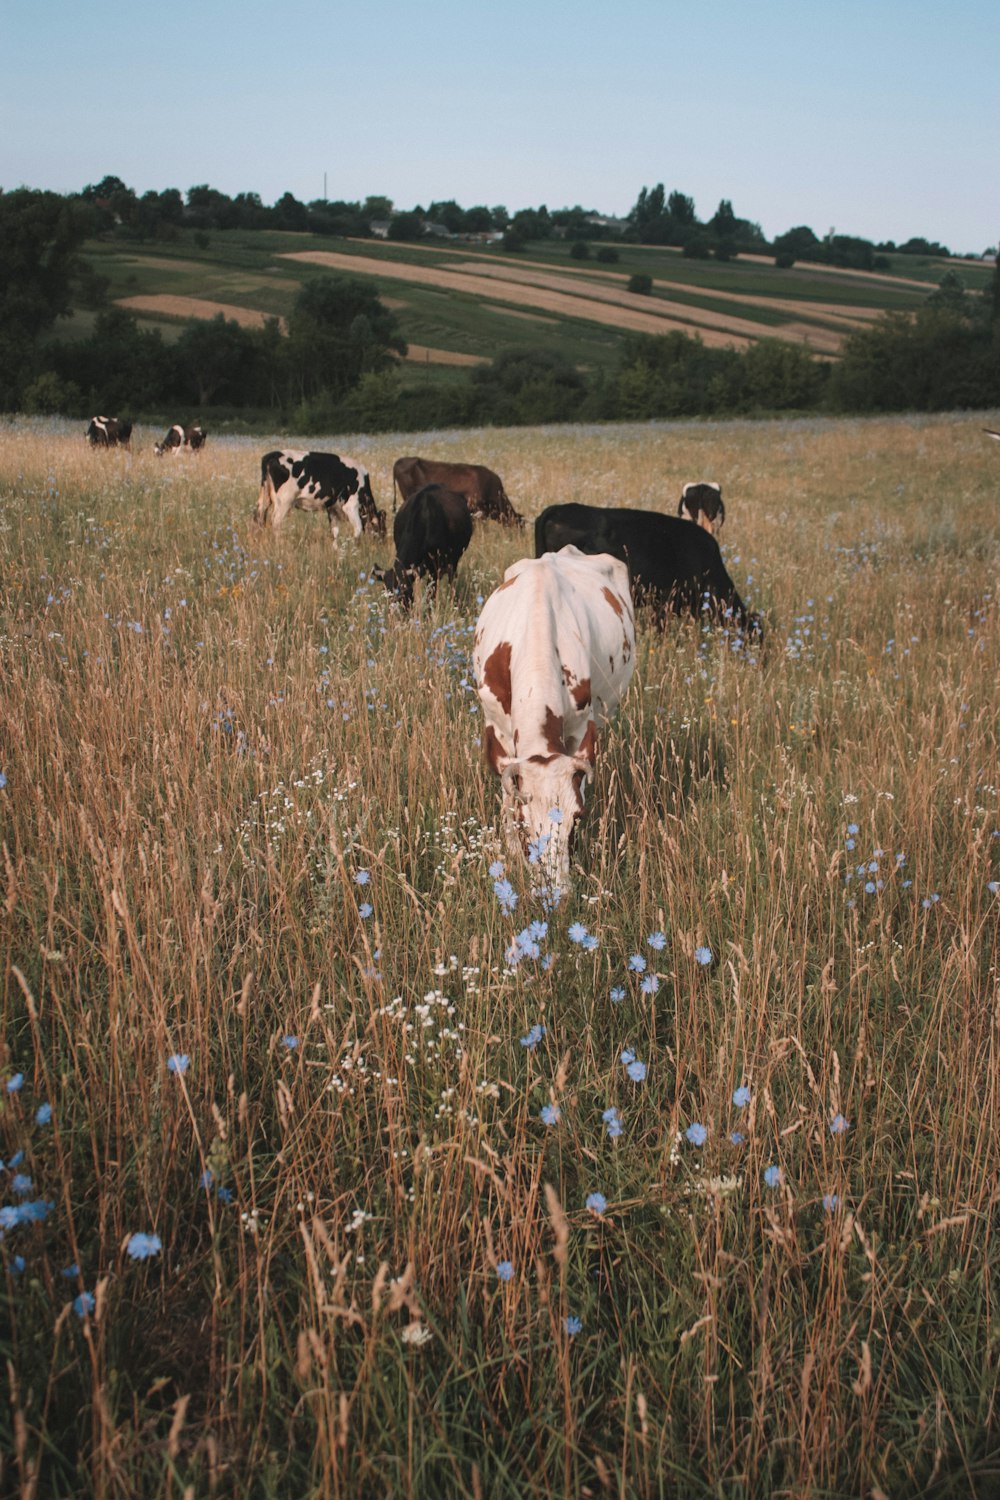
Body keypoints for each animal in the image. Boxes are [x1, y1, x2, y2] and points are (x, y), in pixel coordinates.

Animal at [254, 450, 386, 540]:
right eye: (381, 528)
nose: (382, 544)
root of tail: (273, 454)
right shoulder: (351, 506)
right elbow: (357, 530)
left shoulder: (332, 508)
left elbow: (334, 531)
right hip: (284, 502)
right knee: (276, 522)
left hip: (265, 497)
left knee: (259, 518)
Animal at [476, 546, 632, 882]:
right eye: (524, 822)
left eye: (578, 817)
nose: (555, 889)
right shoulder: (497, 729)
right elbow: (507, 792)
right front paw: (512, 853)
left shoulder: (581, 729)